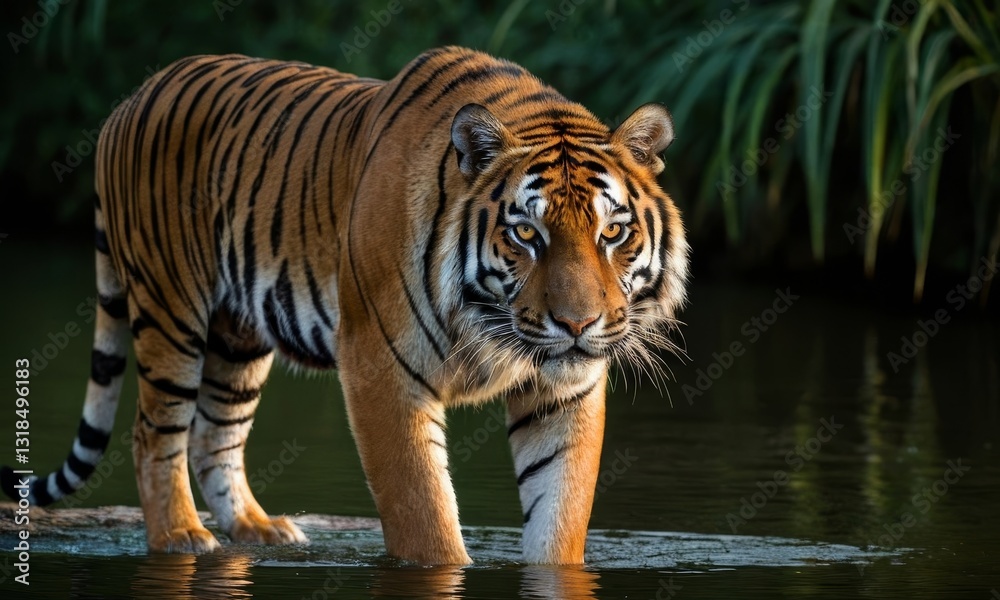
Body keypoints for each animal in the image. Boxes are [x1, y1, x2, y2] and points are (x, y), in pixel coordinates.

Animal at [0, 46, 688, 564]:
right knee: (154, 433)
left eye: (612, 232)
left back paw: (262, 531)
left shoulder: (565, 390)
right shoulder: (382, 368)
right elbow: (423, 514)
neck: (489, 322)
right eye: (526, 234)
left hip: (237, 335)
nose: (577, 324)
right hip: (171, 309)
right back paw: (181, 538)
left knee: (213, 435)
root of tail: (129, 98)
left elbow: (560, 514)